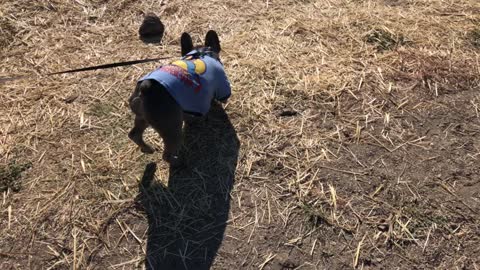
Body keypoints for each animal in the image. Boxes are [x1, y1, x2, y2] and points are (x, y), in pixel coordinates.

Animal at [128, 31, 232, 167]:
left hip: (143, 117)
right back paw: (179, 163)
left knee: (135, 134)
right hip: (172, 129)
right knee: (166, 155)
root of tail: (146, 88)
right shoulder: (222, 85)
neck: (201, 53)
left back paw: (147, 149)